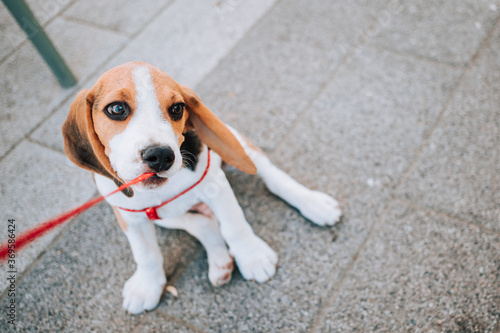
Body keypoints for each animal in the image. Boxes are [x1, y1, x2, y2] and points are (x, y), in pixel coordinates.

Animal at [62, 62, 342, 314]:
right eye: (117, 109)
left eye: (177, 108)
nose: (160, 155)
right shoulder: (130, 216)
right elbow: (146, 253)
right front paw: (146, 287)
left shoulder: (215, 184)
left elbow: (234, 225)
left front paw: (253, 257)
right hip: (161, 216)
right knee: (203, 223)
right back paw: (220, 262)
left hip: (236, 144)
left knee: (271, 177)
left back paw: (315, 205)